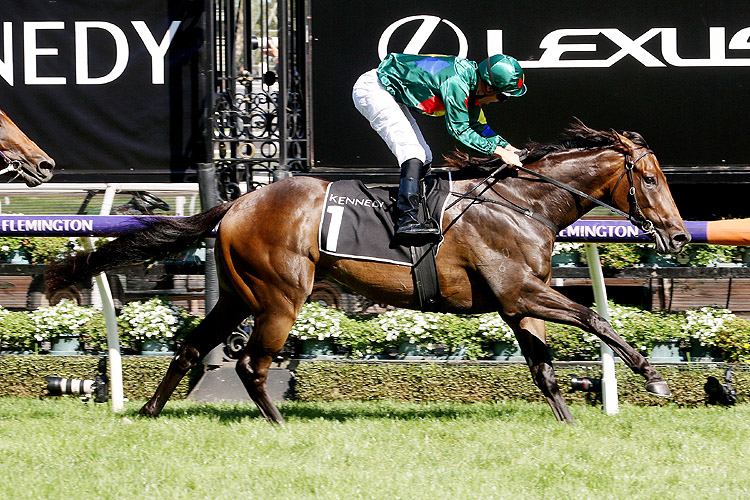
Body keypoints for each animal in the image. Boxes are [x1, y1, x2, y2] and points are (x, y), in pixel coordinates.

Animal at [45, 122, 692, 422]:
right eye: (650, 178)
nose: (681, 235)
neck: (522, 204)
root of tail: (237, 202)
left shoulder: (516, 303)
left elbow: (545, 368)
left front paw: (571, 419)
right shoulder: (521, 292)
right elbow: (596, 319)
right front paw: (655, 380)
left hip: (237, 294)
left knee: (190, 346)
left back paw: (149, 412)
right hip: (280, 296)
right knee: (251, 364)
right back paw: (281, 424)